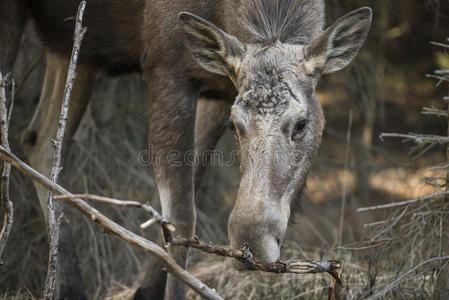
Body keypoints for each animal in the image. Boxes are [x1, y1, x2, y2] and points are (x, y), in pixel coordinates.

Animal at [0, 0, 372, 298]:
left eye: (301, 123)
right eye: (237, 124)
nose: (250, 239)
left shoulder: (219, 89)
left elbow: (190, 188)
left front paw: (145, 291)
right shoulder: (165, 67)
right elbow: (181, 217)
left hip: (73, 45)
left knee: (39, 140)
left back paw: (69, 286)